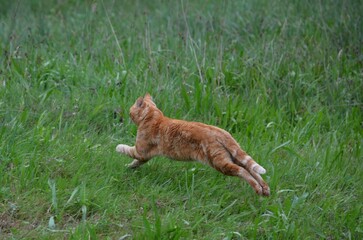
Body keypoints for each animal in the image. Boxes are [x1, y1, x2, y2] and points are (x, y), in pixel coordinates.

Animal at [116, 93, 270, 196]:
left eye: (131, 108)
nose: (127, 112)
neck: (153, 116)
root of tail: (221, 132)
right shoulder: (144, 157)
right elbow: (135, 163)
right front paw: (129, 167)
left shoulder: (140, 151)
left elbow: (127, 150)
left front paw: (118, 148)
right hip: (233, 156)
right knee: (252, 170)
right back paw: (265, 189)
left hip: (219, 162)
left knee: (243, 171)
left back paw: (258, 189)